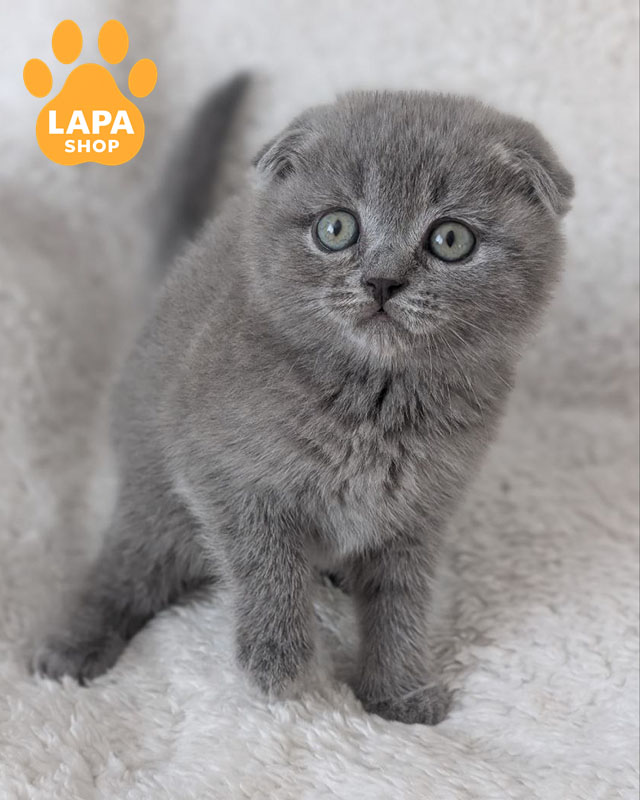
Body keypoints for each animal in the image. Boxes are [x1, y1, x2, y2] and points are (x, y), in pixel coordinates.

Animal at [32, 85, 573, 726]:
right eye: (336, 228)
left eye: (450, 239)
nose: (382, 281)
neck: (376, 406)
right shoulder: (219, 470)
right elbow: (267, 562)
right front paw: (280, 663)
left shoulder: (421, 511)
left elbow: (402, 601)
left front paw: (399, 692)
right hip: (155, 497)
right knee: (125, 568)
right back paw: (73, 648)